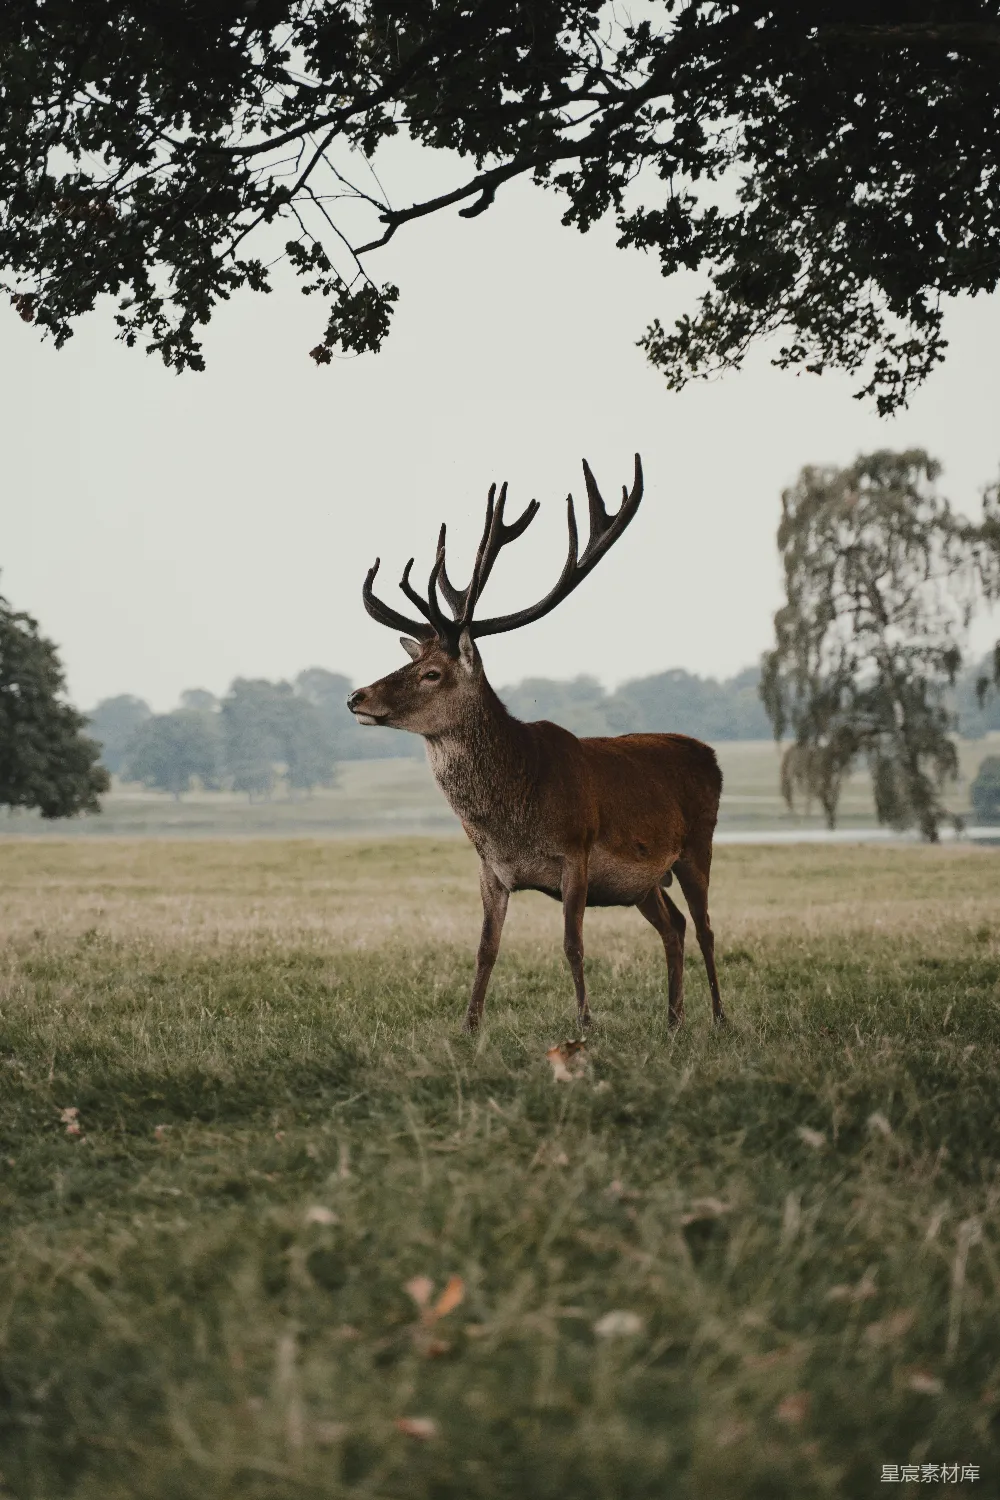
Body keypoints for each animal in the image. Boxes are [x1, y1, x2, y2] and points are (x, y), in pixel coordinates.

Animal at [347, 454, 726, 1035]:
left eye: (432, 673)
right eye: (409, 661)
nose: (357, 696)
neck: (513, 816)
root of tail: (710, 755)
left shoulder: (576, 854)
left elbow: (572, 944)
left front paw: (585, 1025)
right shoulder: (491, 871)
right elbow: (485, 948)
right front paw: (468, 1027)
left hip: (697, 845)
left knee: (705, 926)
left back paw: (720, 1018)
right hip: (643, 883)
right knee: (676, 925)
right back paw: (673, 1020)